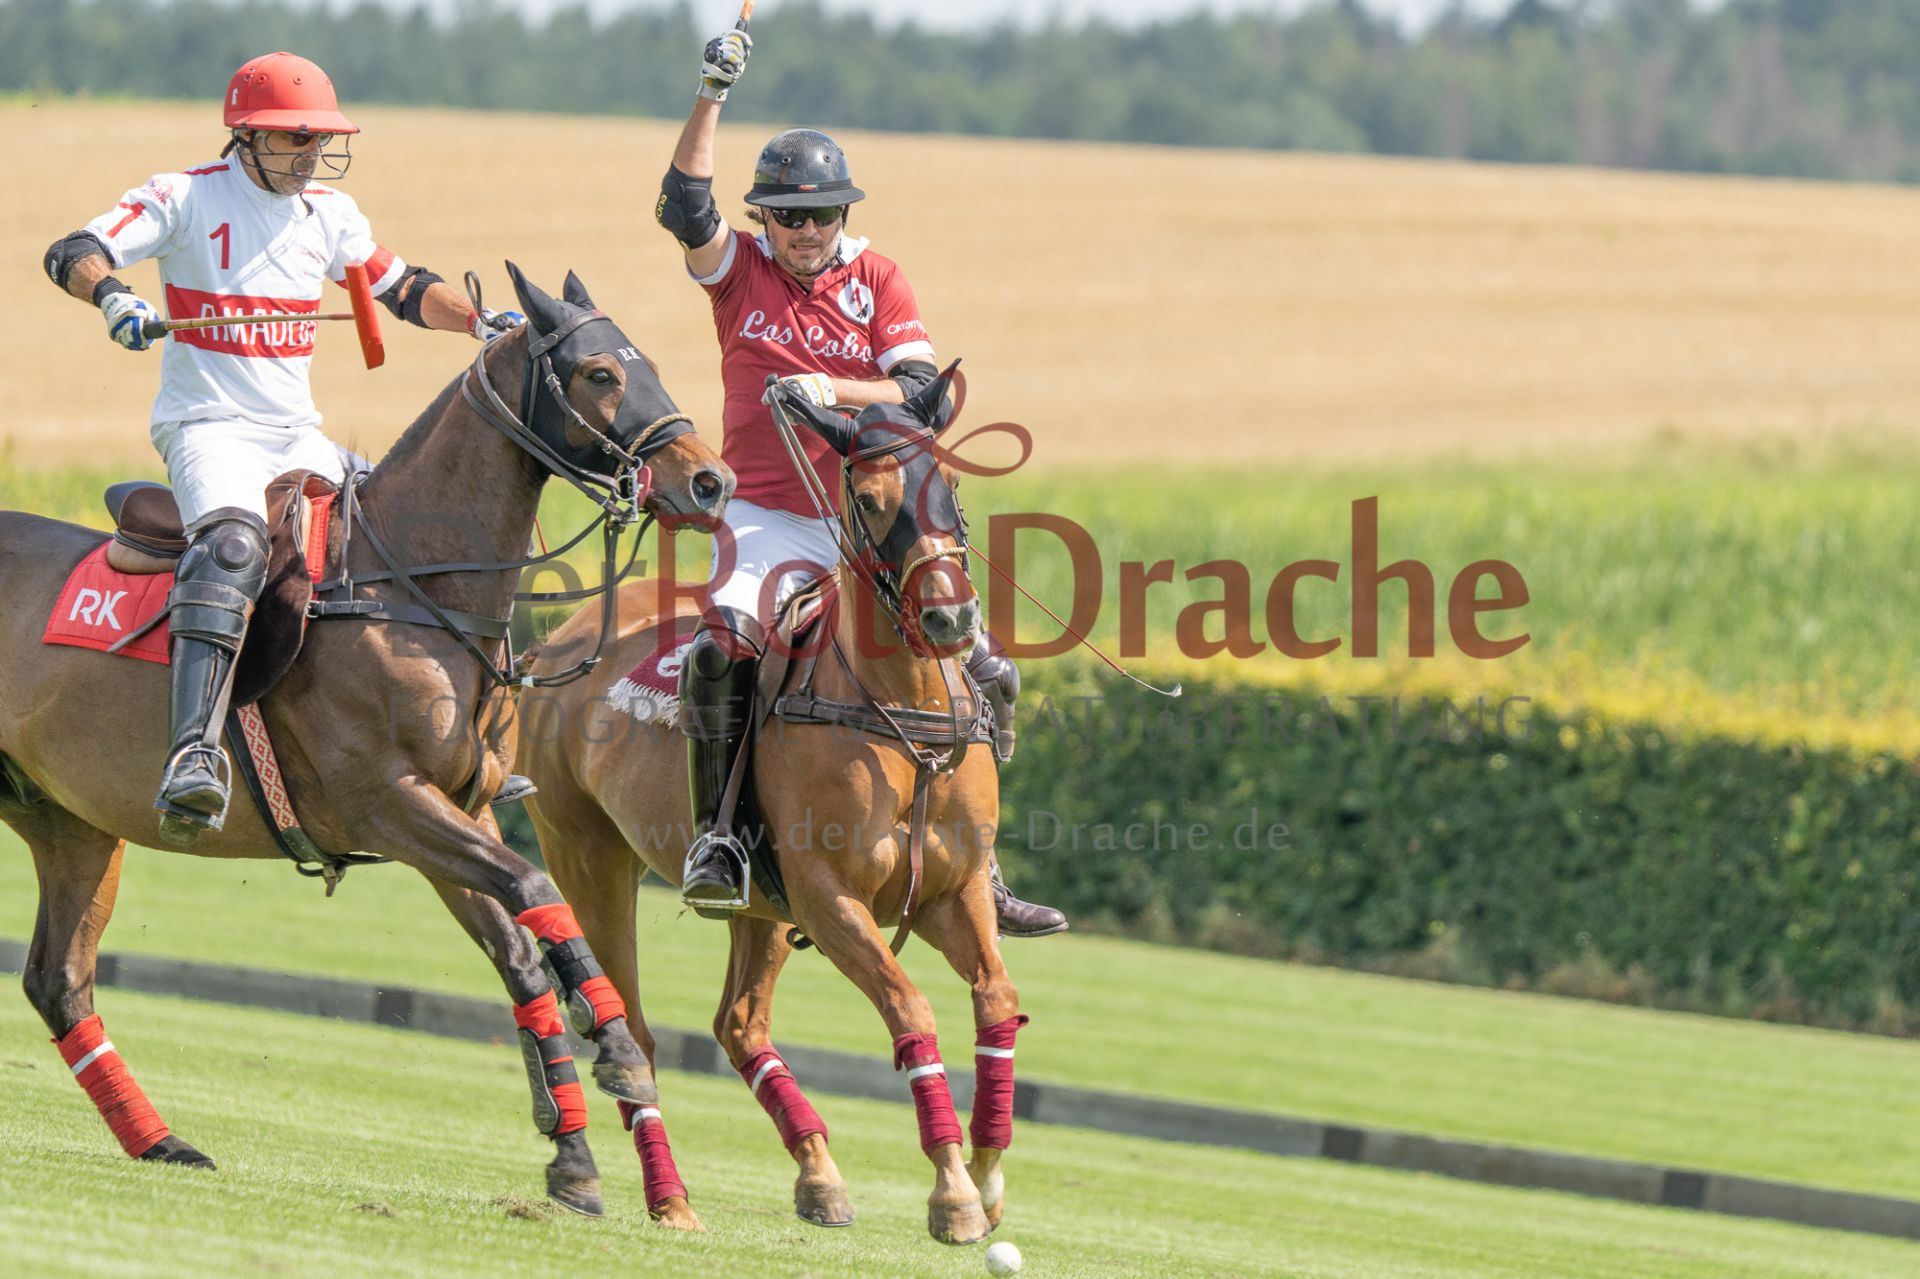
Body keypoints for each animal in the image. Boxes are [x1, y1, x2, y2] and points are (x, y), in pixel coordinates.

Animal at [0, 264, 734, 1218]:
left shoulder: (458, 814)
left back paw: (162, 1141)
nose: (711, 481)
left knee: (58, 978)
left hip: (72, 821)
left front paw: (572, 1152)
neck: (414, 587)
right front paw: (616, 1055)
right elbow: (538, 894)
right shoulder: (387, 803)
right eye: (600, 373)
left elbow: (520, 950)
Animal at [517, 368, 1022, 1244]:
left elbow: (996, 999)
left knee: (739, 1022)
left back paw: (819, 1174)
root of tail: (564, 637)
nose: (951, 618)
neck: (905, 711)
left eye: (950, 486)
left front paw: (989, 1178)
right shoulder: (829, 897)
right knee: (635, 1032)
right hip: (587, 857)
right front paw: (954, 1190)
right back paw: (670, 1197)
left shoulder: (952, 891)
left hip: (760, 906)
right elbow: (909, 1006)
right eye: (869, 498)